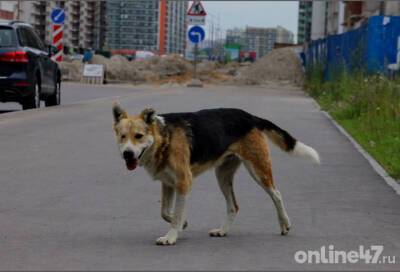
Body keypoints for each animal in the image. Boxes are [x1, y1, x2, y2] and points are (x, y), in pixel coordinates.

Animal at [111, 103, 318, 245]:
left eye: (138, 136)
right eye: (122, 137)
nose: (127, 154)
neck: (165, 139)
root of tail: (250, 116)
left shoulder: (184, 183)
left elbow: (175, 214)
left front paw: (171, 236)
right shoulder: (168, 183)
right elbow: (165, 212)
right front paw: (183, 225)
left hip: (257, 170)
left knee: (276, 194)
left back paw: (285, 224)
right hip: (222, 176)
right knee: (234, 206)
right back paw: (222, 231)